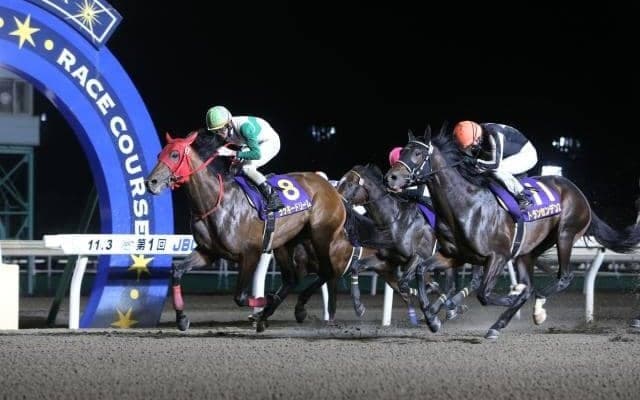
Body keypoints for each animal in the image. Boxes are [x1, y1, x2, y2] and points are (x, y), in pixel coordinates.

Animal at [145, 130, 392, 331]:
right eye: (159, 154)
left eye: (175, 154)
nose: (151, 182)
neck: (216, 201)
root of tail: (334, 190)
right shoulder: (209, 252)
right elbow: (177, 271)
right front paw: (182, 318)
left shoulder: (250, 253)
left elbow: (241, 296)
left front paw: (264, 305)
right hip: (285, 243)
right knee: (294, 278)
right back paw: (277, 313)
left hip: (321, 237)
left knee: (327, 271)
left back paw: (297, 309)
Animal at [337, 163, 482, 325]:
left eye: (350, 184)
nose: (338, 202)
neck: (395, 219)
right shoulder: (387, 259)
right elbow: (356, 267)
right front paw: (358, 306)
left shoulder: (419, 256)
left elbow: (403, 284)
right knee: (450, 286)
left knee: (473, 281)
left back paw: (447, 306)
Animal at [384, 124, 640, 339]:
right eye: (403, 151)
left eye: (418, 154)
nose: (391, 177)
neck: (465, 205)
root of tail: (577, 192)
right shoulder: (455, 256)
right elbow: (421, 271)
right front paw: (432, 319)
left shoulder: (497, 256)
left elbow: (484, 294)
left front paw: (509, 296)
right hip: (528, 251)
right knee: (531, 284)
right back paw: (499, 324)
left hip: (566, 234)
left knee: (563, 278)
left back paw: (536, 309)